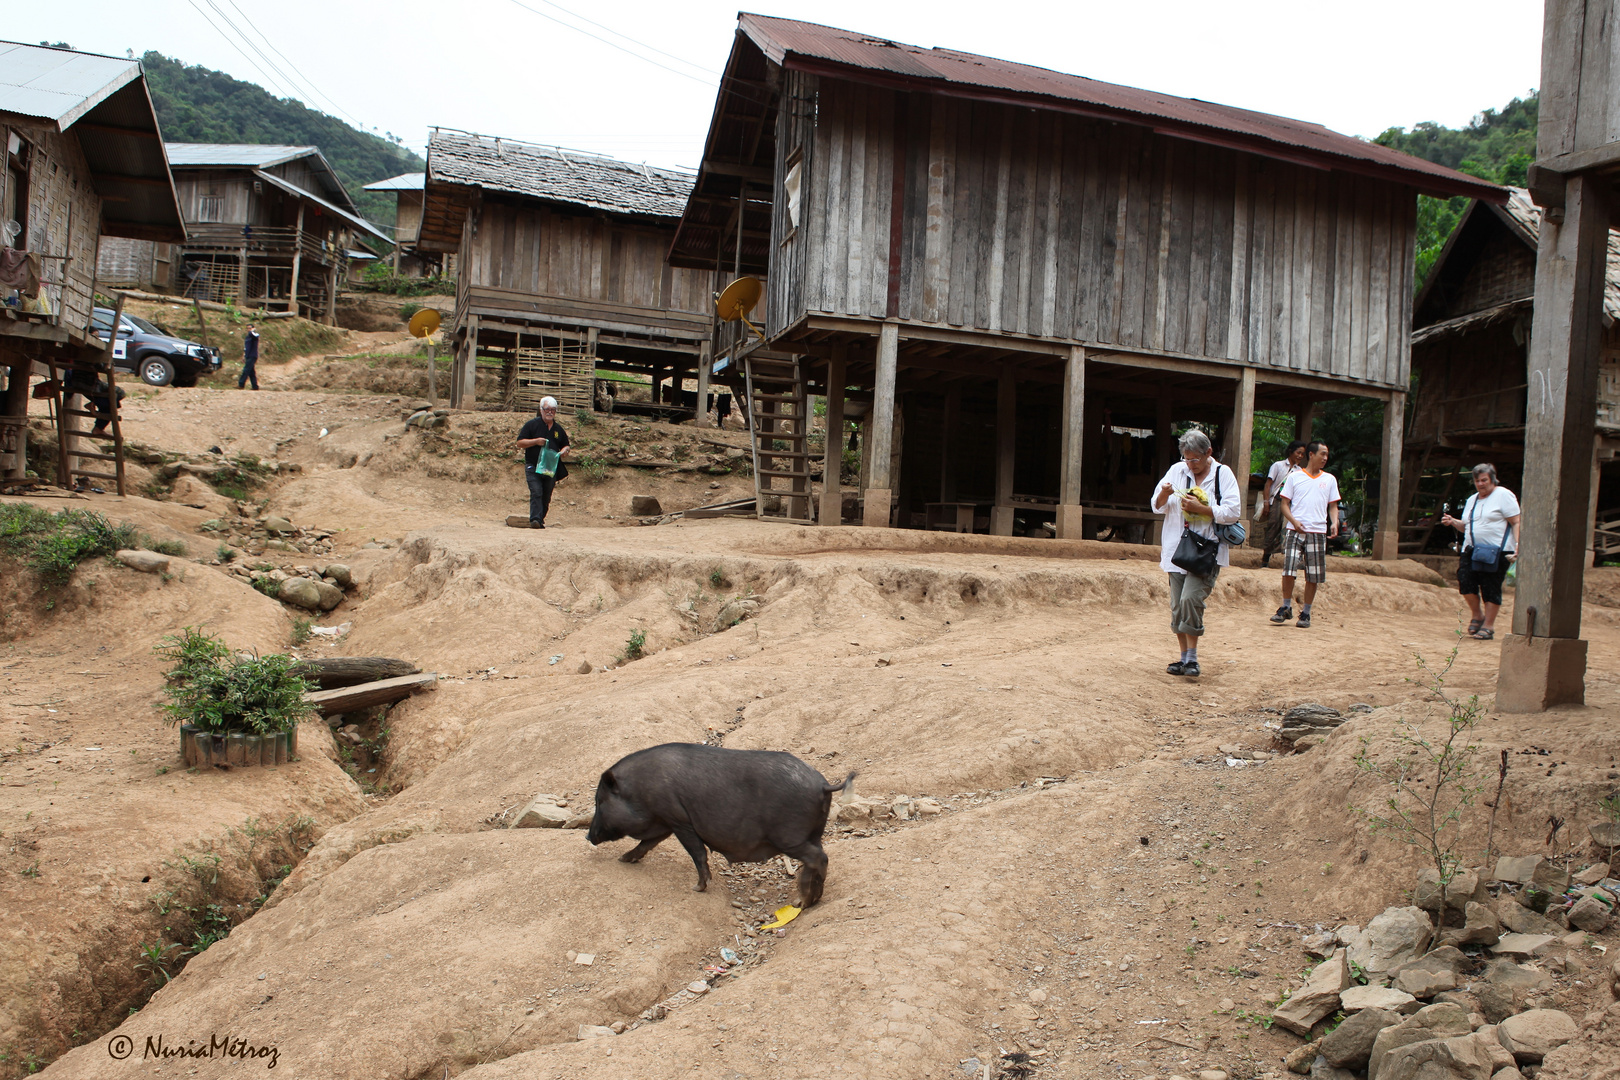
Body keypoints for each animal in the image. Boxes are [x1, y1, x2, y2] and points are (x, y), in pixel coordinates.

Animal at [586, 744, 861, 906]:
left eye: (600, 801)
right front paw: (623, 859)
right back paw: (811, 898)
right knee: (819, 856)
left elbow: (697, 852)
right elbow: (646, 843)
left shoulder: (678, 819)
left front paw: (697, 888)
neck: (640, 790)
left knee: (818, 858)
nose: (588, 837)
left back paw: (801, 902)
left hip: (790, 836)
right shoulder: (665, 822)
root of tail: (823, 785)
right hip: (813, 833)